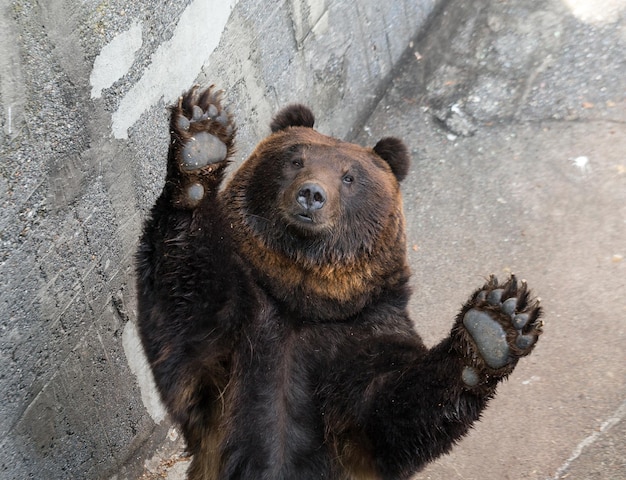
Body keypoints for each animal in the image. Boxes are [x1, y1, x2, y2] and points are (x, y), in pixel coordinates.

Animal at [136, 85, 540, 480]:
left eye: (349, 177)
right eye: (295, 160)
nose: (312, 194)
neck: (303, 300)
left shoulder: (362, 335)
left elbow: (389, 412)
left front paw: (495, 324)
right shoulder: (234, 338)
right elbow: (187, 306)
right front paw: (201, 140)